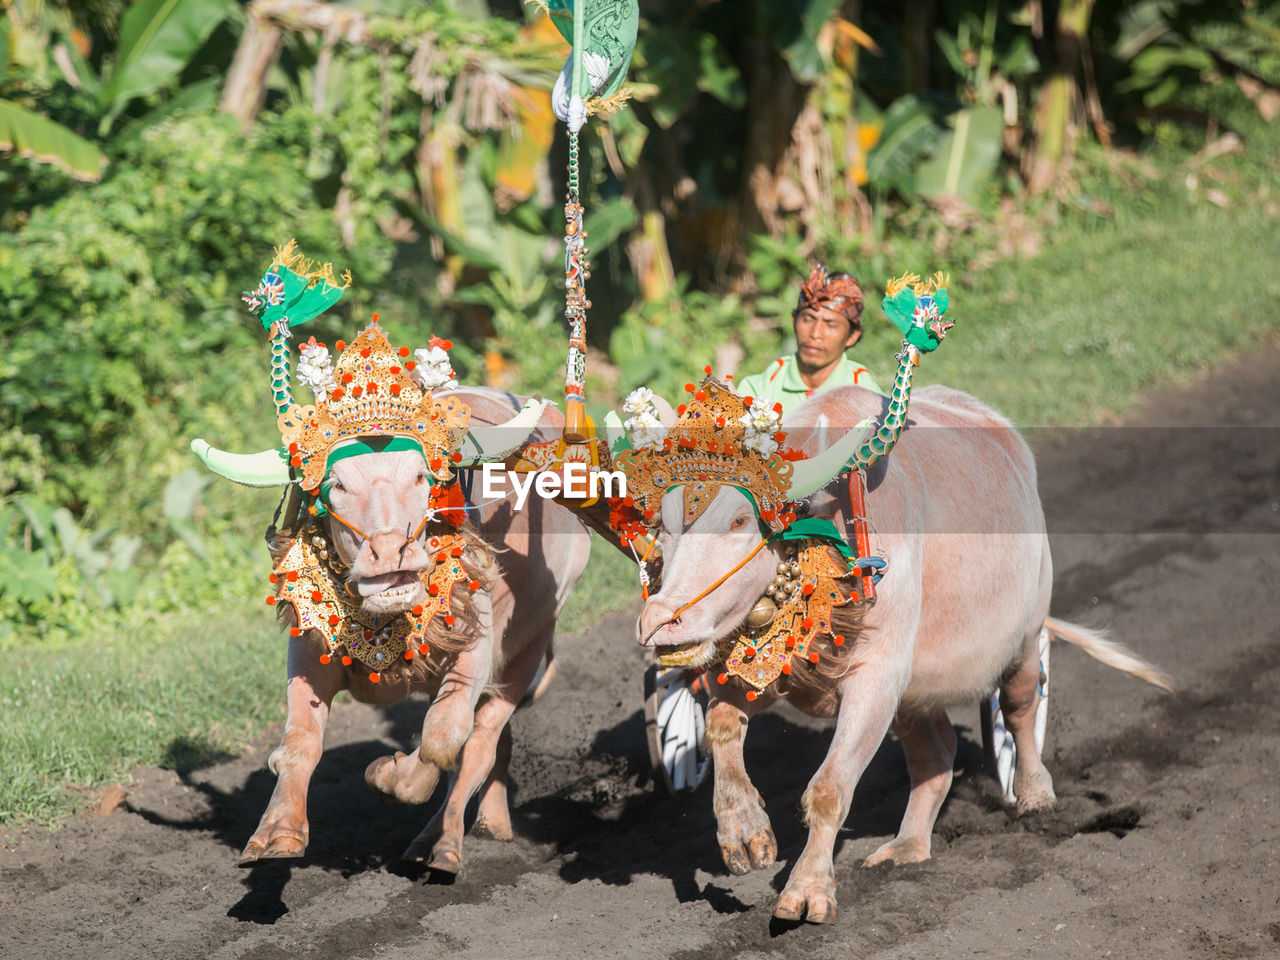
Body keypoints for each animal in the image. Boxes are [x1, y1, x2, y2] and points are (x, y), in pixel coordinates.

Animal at [240, 389, 588, 870]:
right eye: (337, 485)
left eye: (421, 476)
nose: (390, 551)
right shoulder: (310, 651)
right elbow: (299, 742)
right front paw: (277, 832)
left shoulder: (476, 642)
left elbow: (442, 739)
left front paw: (390, 776)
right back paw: (493, 821)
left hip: (531, 642)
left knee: (480, 746)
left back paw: (438, 843)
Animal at [640, 384, 1172, 926]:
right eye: (664, 525)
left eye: (740, 519)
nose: (659, 619)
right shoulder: (782, 669)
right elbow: (721, 722)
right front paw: (744, 830)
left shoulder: (875, 679)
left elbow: (829, 787)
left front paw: (808, 889)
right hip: (915, 695)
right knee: (935, 755)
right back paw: (909, 846)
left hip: (1027, 630)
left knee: (1020, 706)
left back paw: (1034, 794)